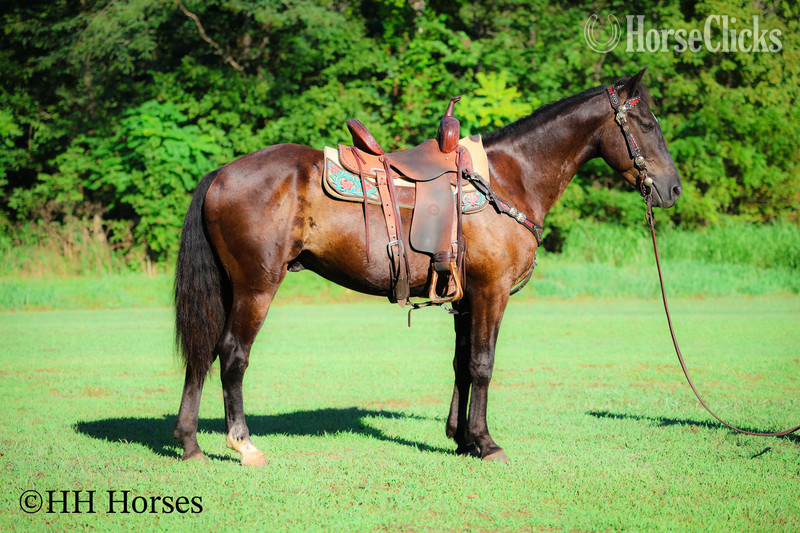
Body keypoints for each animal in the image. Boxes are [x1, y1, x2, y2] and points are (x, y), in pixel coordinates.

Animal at [173, 68, 682, 465]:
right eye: (646, 123)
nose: (673, 189)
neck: (508, 180)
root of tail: (221, 173)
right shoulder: (492, 291)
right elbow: (482, 363)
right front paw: (486, 443)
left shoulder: (466, 297)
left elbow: (461, 363)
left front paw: (461, 439)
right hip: (256, 287)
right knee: (233, 354)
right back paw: (243, 445)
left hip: (228, 287)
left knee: (203, 352)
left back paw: (190, 443)